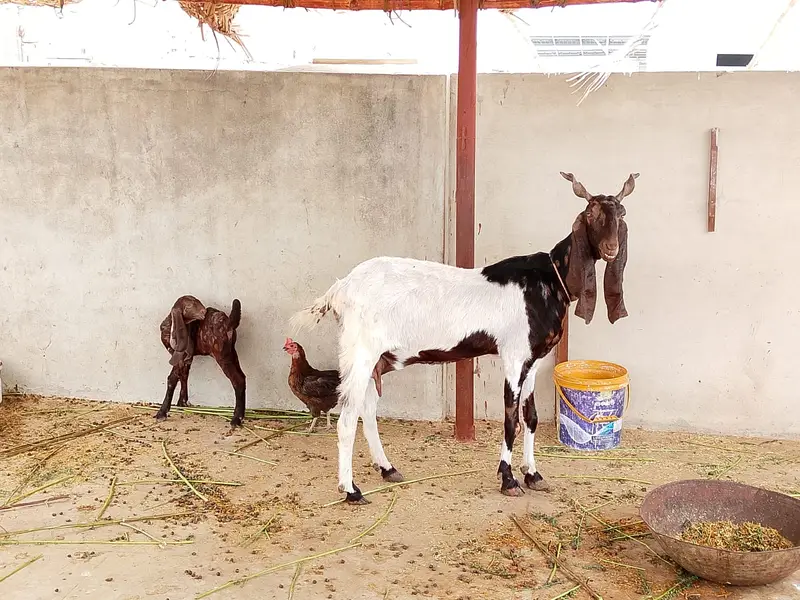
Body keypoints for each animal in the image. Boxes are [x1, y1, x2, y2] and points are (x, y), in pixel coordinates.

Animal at [156, 295, 247, 427]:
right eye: (189, 305)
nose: (204, 311)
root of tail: (228, 323)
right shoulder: (187, 357)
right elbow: (183, 375)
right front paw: (182, 402)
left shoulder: (179, 355)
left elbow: (172, 379)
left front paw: (162, 412)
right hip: (231, 353)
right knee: (242, 377)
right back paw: (239, 415)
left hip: (221, 355)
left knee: (237, 380)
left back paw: (236, 419)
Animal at [291, 171, 638, 504]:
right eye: (591, 213)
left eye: (621, 213)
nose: (611, 249)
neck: (548, 279)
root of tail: (341, 287)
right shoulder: (513, 357)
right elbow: (511, 420)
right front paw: (508, 480)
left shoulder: (534, 360)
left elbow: (531, 418)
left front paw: (533, 475)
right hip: (359, 352)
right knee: (348, 418)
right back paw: (351, 490)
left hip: (378, 359)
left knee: (368, 410)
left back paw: (387, 468)